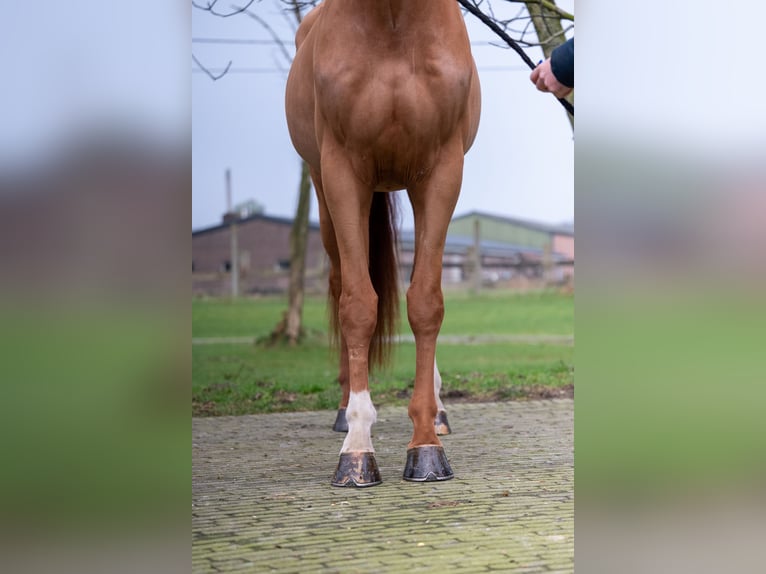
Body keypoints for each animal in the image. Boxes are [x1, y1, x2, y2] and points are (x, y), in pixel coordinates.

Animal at [286, 0, 480, 488]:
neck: (393, 19)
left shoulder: (442, 170)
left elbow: (426, 303)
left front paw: (426, 446)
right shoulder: (341, 171)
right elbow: (357, 306)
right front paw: (357, 450)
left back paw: (438, 410)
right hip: (325, 191)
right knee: (340, 284)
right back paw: (343, 412)